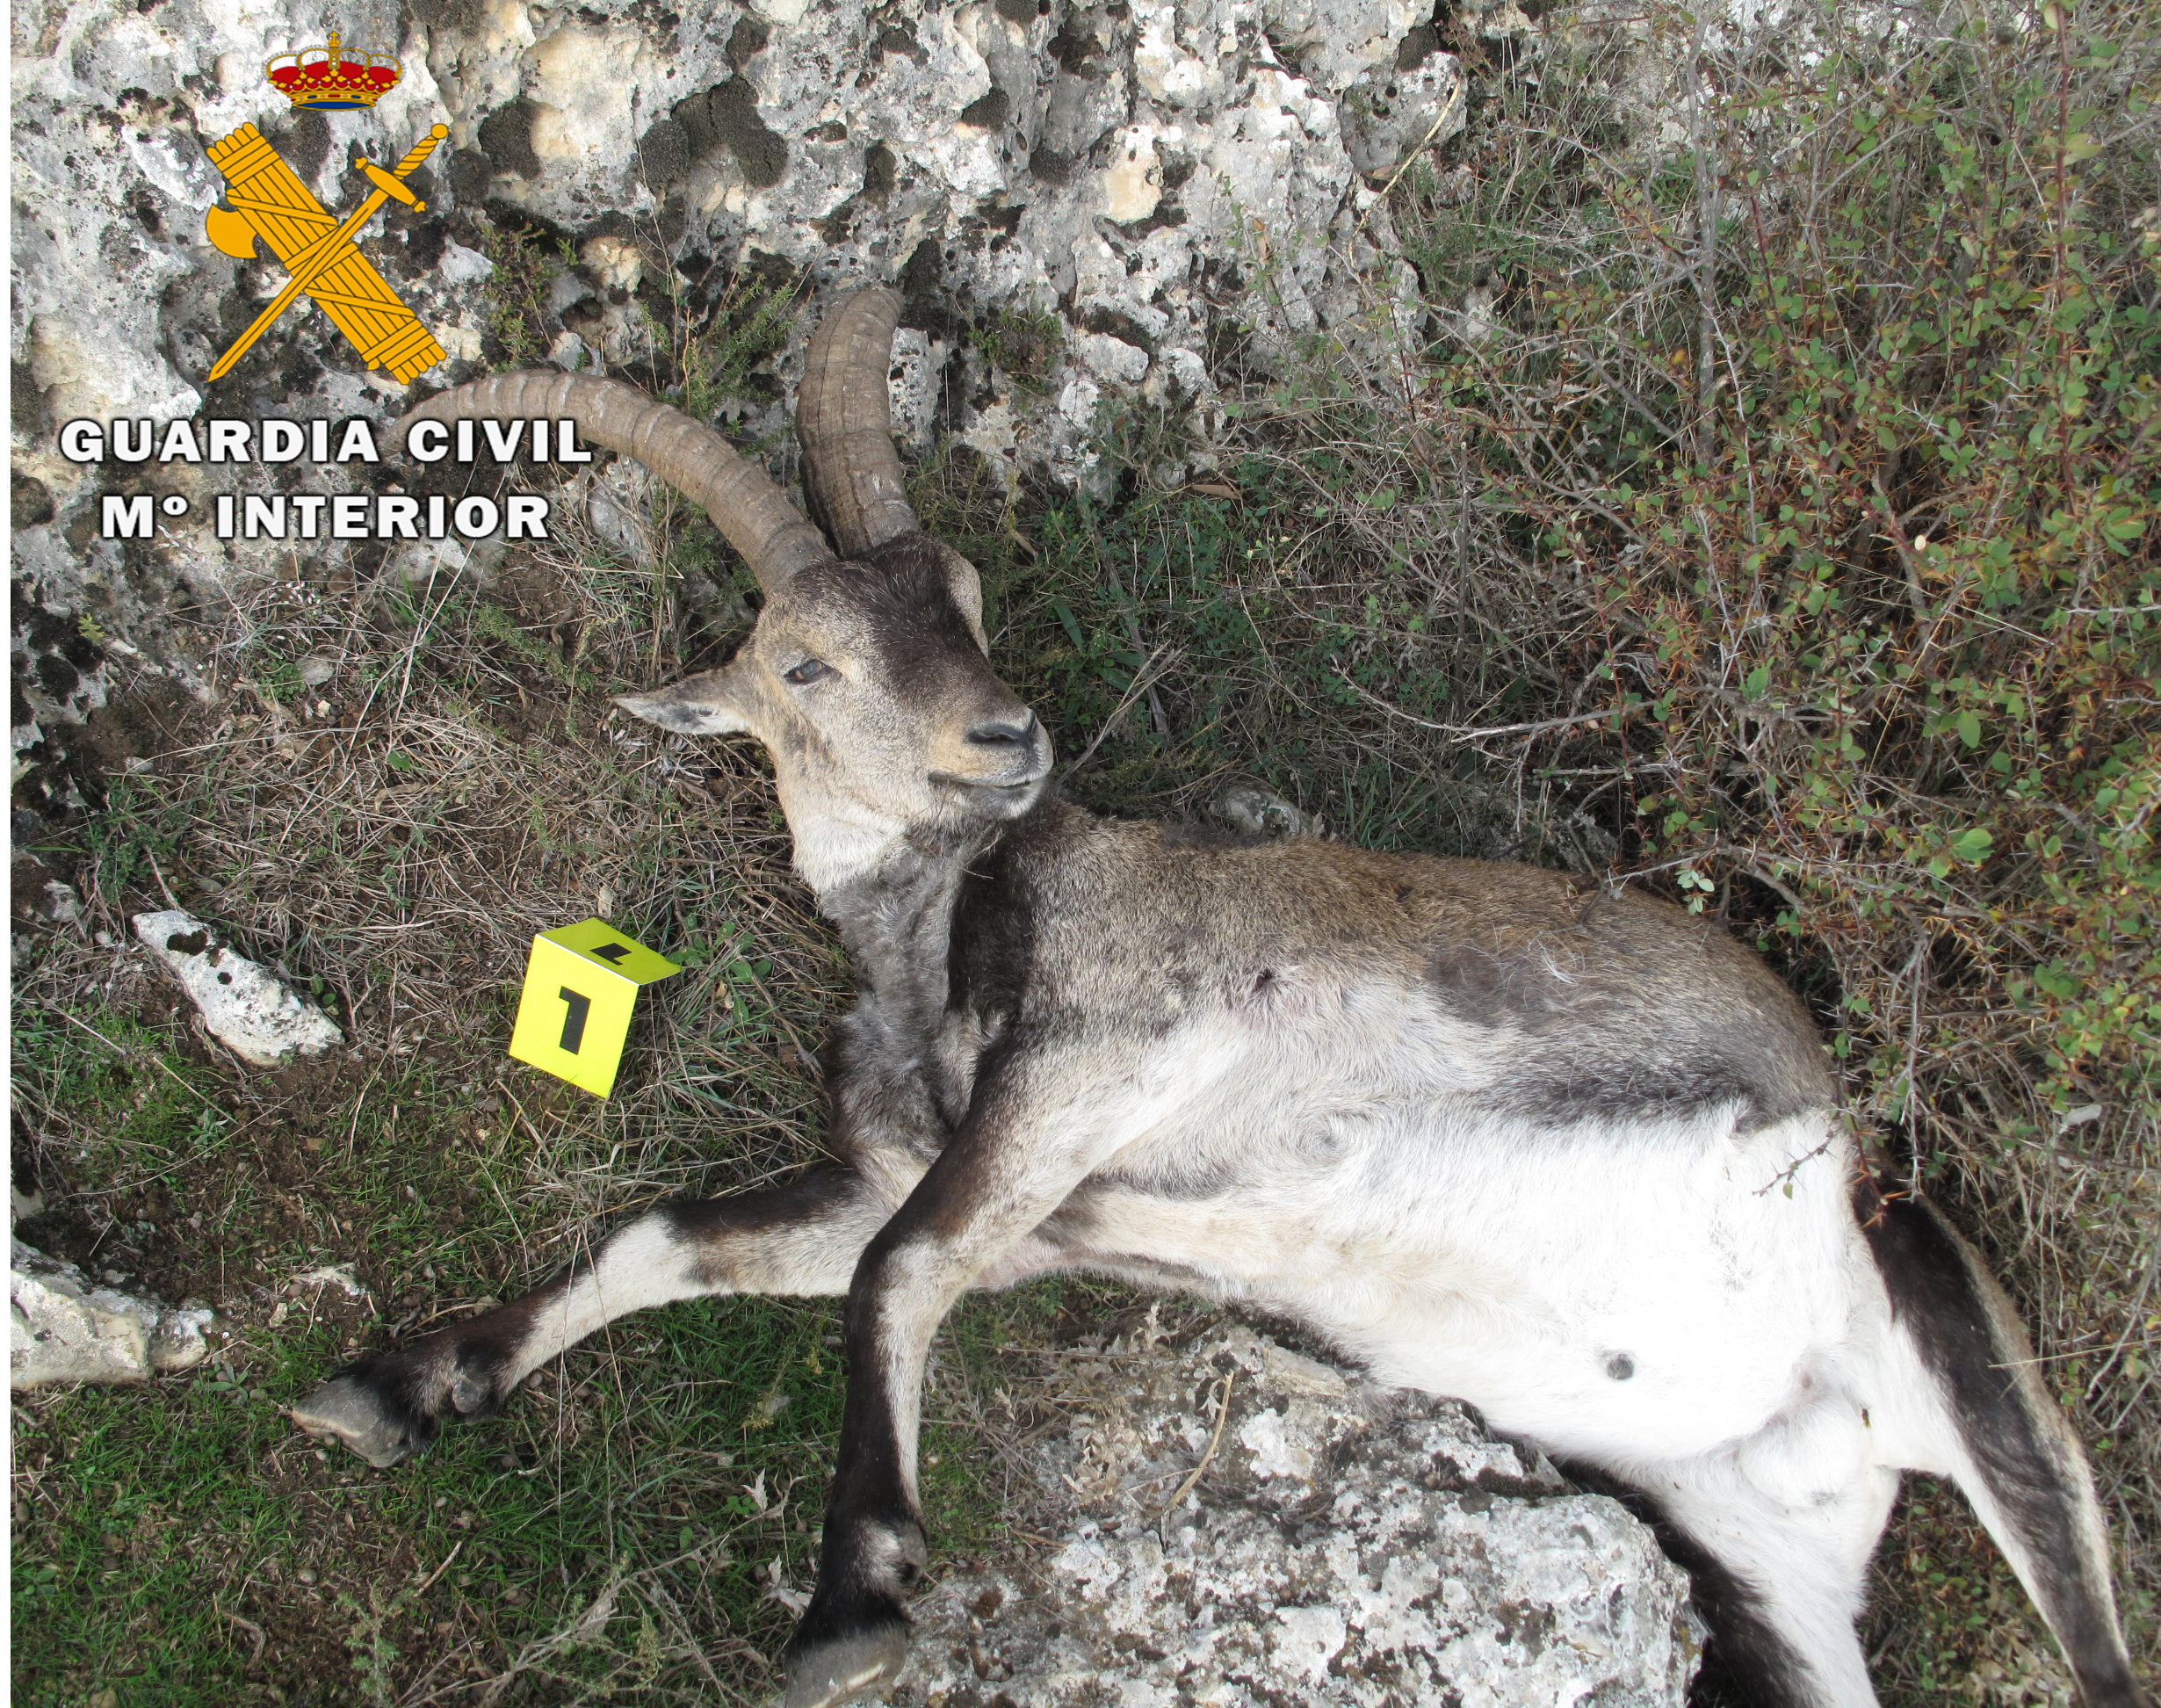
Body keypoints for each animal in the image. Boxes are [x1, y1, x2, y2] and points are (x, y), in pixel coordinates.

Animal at [292, 288, 2153, 1708]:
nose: (1002, 736)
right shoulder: (972, 1180)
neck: (945, 928)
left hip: (1957, 1340)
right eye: (804, 661)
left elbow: (893, 1272)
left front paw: (853, 1606)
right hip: (1762, 1548)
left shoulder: (1120, 1045)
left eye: (962, 594)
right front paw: (395, 1385)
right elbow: (683, 1235)